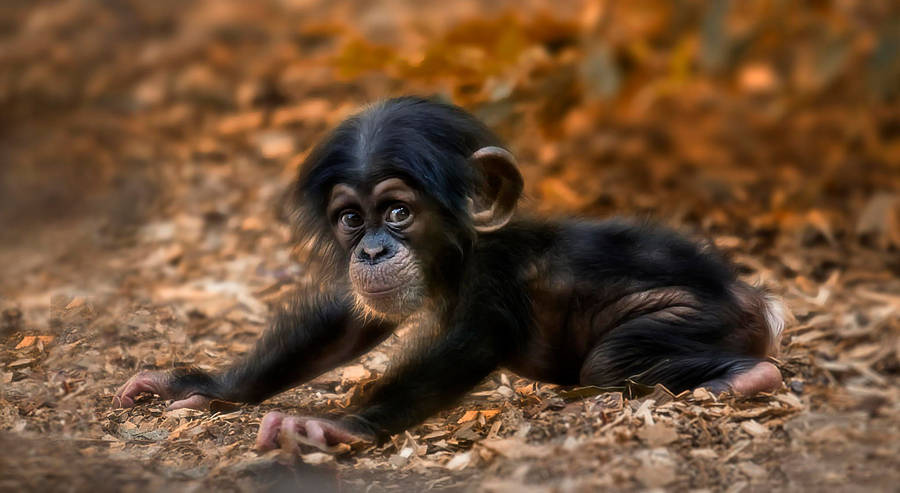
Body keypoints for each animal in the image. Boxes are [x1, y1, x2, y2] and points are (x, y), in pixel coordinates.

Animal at [115, 96, 787, 451]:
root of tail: (760, 300)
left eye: (398, 211)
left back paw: (746, 379)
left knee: (612, 360)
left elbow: (467, 346)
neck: (460, 254)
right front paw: (200, 386)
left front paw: (334, 425)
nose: (372, 251)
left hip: (696, 315)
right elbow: (346, 324)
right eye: (351, 219)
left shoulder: (494, 280)